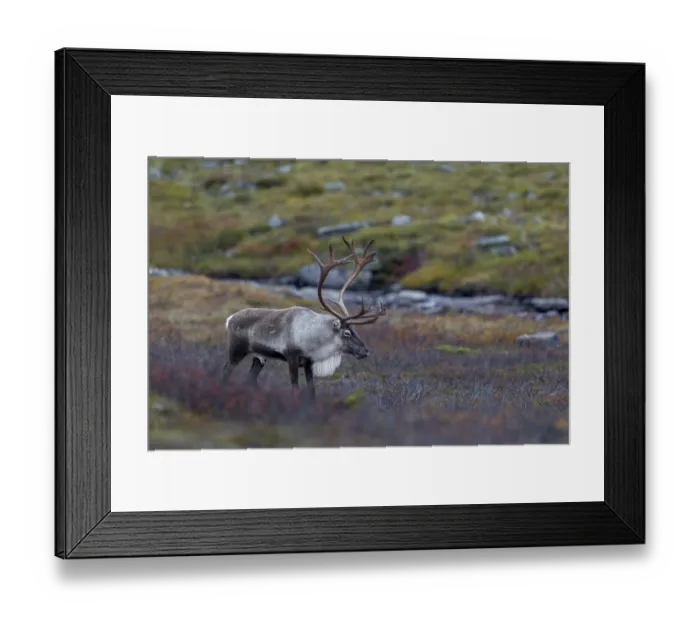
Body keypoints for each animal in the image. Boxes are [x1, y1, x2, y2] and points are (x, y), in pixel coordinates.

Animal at [222, 237, 387, 401]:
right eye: (346, 333)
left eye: (355, 331)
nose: (365, 351)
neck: (314, 337)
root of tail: (230, 319)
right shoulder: (292, 358)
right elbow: (295, 389)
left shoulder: (309, 363)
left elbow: (311, 390)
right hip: (237, 350)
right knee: (225, 372)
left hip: (259, 357)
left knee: (250, 378)